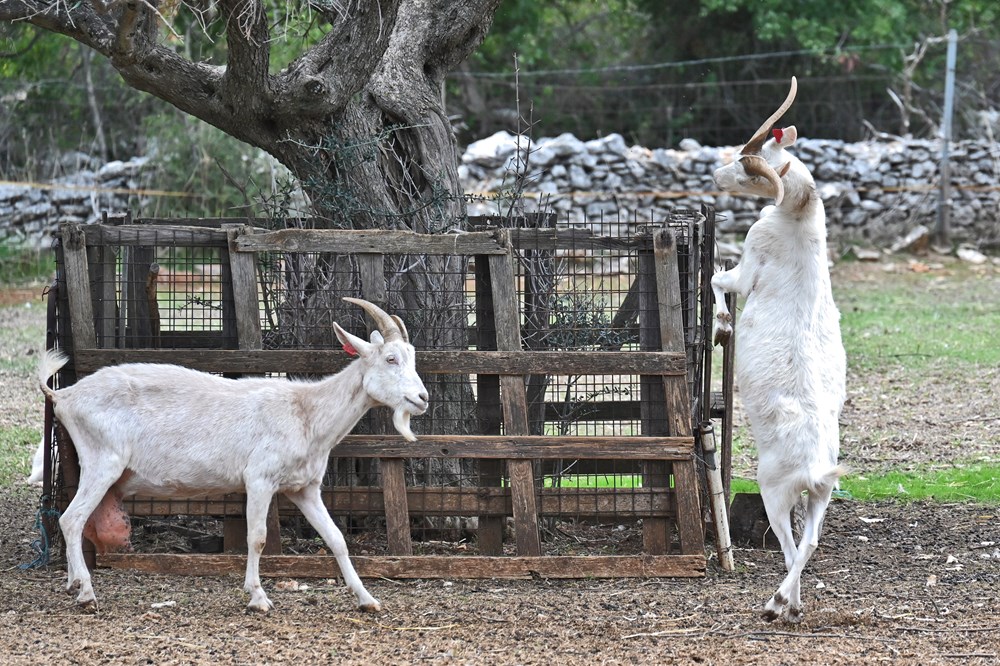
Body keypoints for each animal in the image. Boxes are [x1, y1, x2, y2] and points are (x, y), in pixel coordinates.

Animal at [38, 296, 430, 612]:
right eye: (391, 358)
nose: (422, 398)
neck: (306, 412)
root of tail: (63, 395)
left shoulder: (304, 488)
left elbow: (336, 539)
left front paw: (367, 599)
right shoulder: (259, 479)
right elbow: (256, 538)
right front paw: (258, 597)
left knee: (74, 519)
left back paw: (74, 582)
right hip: (102, 461)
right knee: (71, 519)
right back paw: (86, 593)